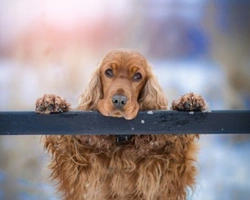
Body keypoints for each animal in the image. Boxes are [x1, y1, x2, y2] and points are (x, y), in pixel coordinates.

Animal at [35, 49, 207, 199]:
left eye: (138, 76)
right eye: (108, 72)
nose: (119, 100)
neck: (121, 140)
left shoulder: (165, 173)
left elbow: (179, 149)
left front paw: (188, 101)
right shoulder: (79, 171)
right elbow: (64, 143)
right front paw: (51, 102)